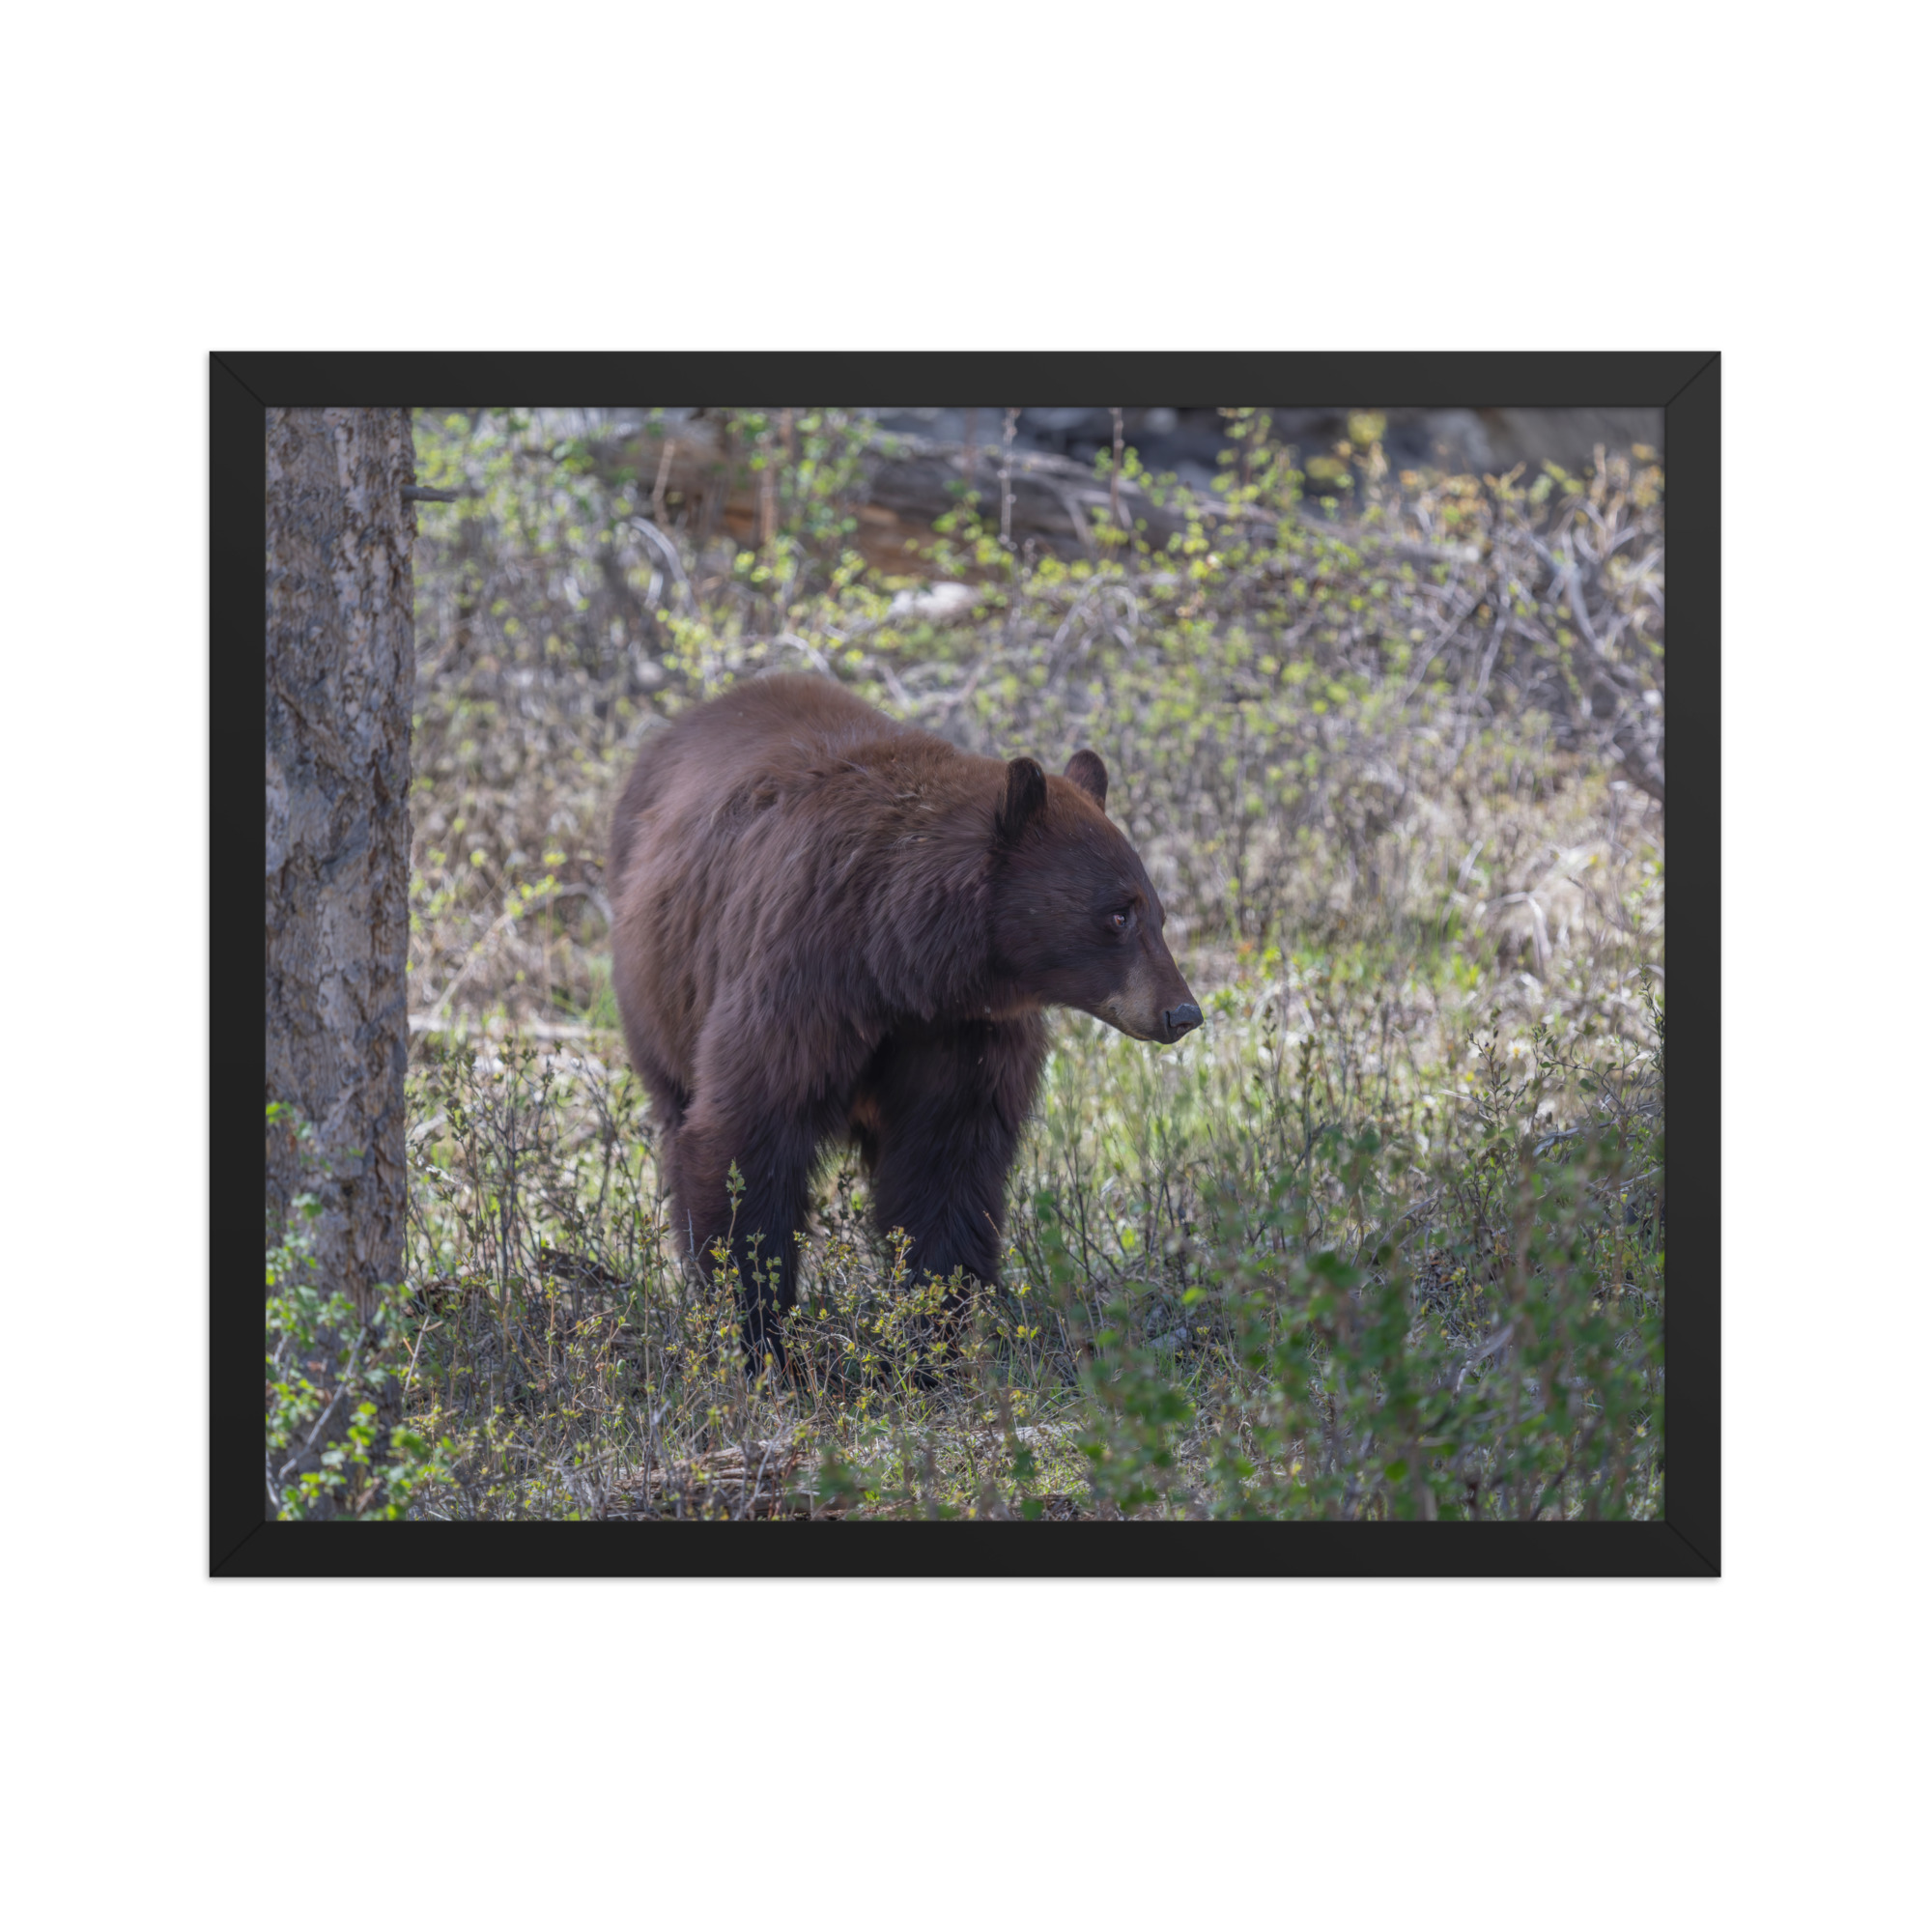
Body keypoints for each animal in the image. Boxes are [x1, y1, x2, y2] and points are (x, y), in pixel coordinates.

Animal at [605, 672, 1200, 1367]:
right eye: (1117, 914)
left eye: (1156, 912)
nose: (1182, 1012)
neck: (899, 961)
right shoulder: (800, 979)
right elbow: (748, 1138)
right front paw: (764, 1341)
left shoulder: (962, 1032)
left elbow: (947, 1167)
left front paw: (928, 1340)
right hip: (659, 993)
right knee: (678, 1119)